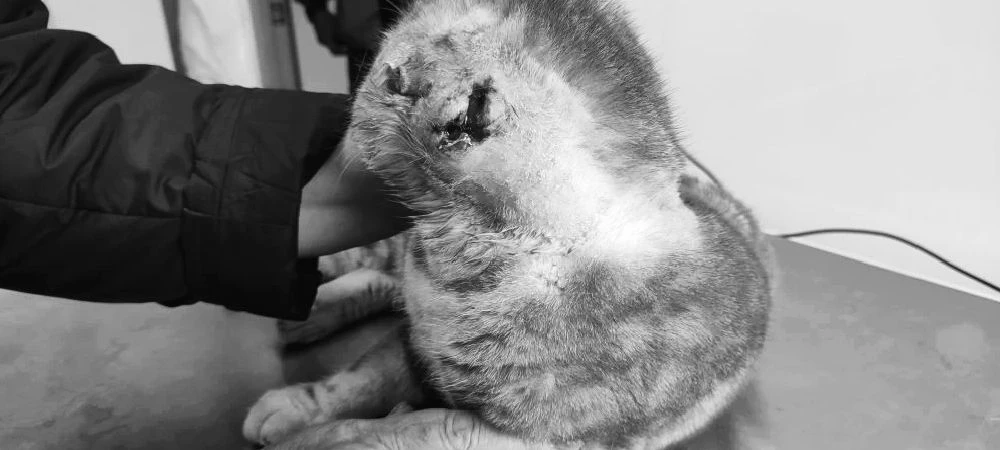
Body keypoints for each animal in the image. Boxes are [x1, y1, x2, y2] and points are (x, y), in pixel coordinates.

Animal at [244, 0, 774, 448]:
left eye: (385, 70)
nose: (377, 74)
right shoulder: (413, 344)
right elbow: (360, 378)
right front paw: (301, 405)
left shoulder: (524, 435)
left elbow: (404, 432)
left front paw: (328, 437)